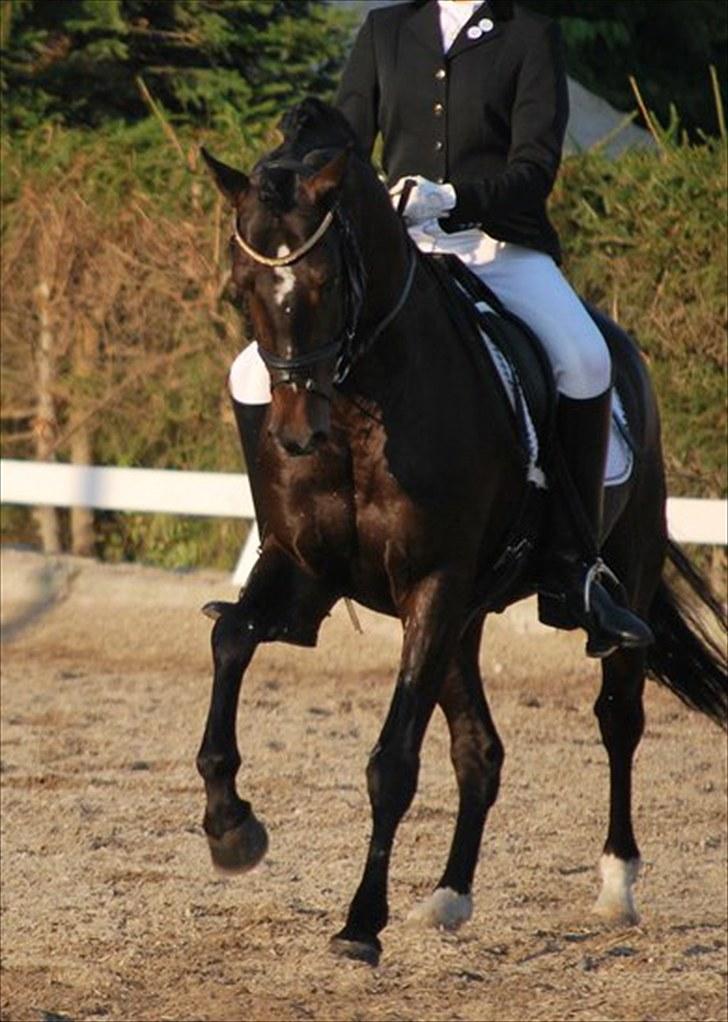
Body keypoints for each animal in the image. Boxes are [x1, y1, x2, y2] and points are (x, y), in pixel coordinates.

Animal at [196, 98, 727, 965]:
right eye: (243, 288)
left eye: (323, 280)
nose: (296, 436)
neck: (360, 407)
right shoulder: (303, 568)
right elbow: (230, 639)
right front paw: (231, 828)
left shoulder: (433, 584)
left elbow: (392, 762)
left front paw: (360, 925)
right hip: (465, 616)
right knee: (480, 752)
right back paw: (449, 896)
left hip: (615, 571)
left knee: (619, 719)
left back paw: (616, 885)